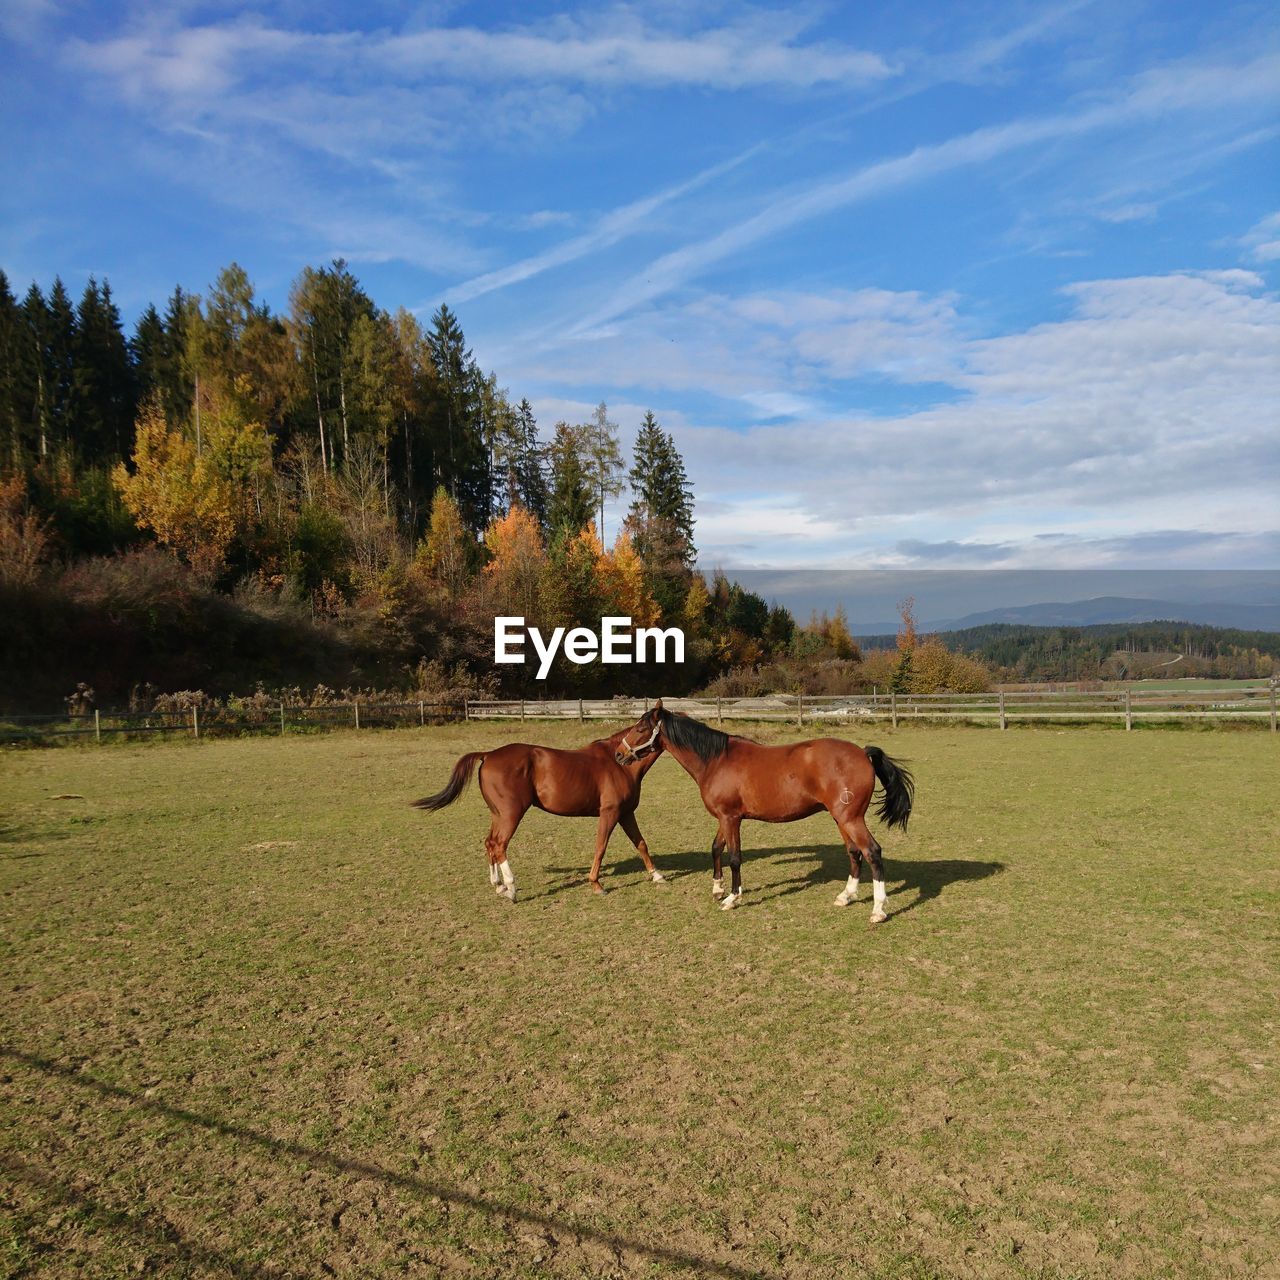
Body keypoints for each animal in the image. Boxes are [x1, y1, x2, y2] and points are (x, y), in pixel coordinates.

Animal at [412, 721, 670, 901]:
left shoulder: (626, 813)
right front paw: (597, 886)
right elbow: (601, 847)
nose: (621, 754)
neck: (618, 765)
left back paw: (498, 885)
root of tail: (488, 754)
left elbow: (641, 843)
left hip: (498, 815)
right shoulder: (610, 813)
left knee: (489, 843)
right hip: (511, 814)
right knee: (499, 845)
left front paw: (657, 875)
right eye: (640, 728)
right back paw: (511, 889)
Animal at [616, 701, 911, 921]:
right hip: (842, 819)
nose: (619, 754)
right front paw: (717, 888)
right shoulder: (725, 818)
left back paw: (878, 910)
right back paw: (845, 896)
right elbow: (716, 848)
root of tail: (862, 753)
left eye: (641, 728)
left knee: (872, 852)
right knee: (854, 853)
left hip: (851, 820)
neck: (716, 760)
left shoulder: (731, 818)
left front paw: (732, 897)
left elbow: (734, 857)